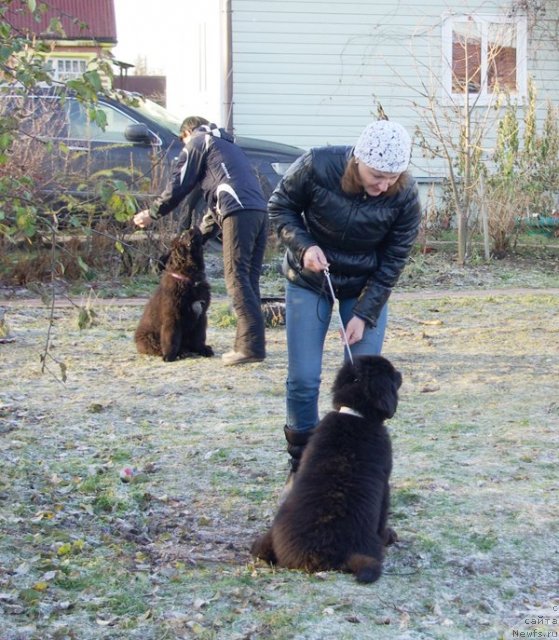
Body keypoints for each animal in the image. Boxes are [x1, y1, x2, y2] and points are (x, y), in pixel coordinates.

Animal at [135, 228, 213, 362]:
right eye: (182, 235)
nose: (193, 226)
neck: (190, 279)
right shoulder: (173, 316)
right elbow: (171, 337)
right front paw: (169, 356)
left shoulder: (201, 315)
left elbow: (199, 336)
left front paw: (202, 349)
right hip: (149, 338)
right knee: (157, 347)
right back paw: (181, 352)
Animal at [250, 356, 402, 584]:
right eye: (391, 373)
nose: (401, 373)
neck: (355, 415)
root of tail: (315, 557)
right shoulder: (385, 484)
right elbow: (383, 514)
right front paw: (388, 534)